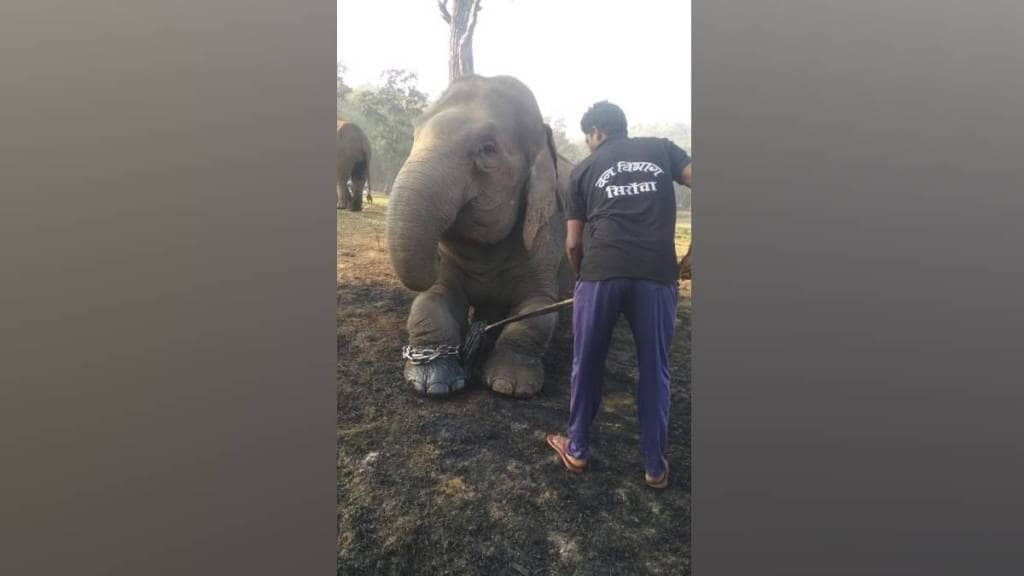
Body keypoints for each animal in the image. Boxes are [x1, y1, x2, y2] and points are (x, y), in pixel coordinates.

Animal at [385, 73, 577, 397]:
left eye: (488, 149)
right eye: (414, 134)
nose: (433, 258)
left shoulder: (545, 236)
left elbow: (538, 312)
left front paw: (510, 386)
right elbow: (430, 299)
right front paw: (433, 383)